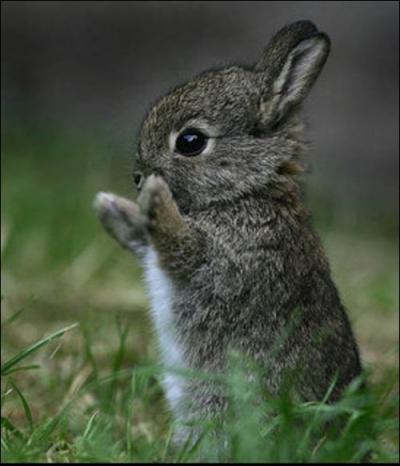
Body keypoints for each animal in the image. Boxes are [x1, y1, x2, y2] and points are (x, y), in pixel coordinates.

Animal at [94, 20, 362, 430]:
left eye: (191, 141)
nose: (139, 177)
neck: (245, 191)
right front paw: (111, 207)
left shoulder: (225, 261)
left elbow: (179, 245)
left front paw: (155, 197)